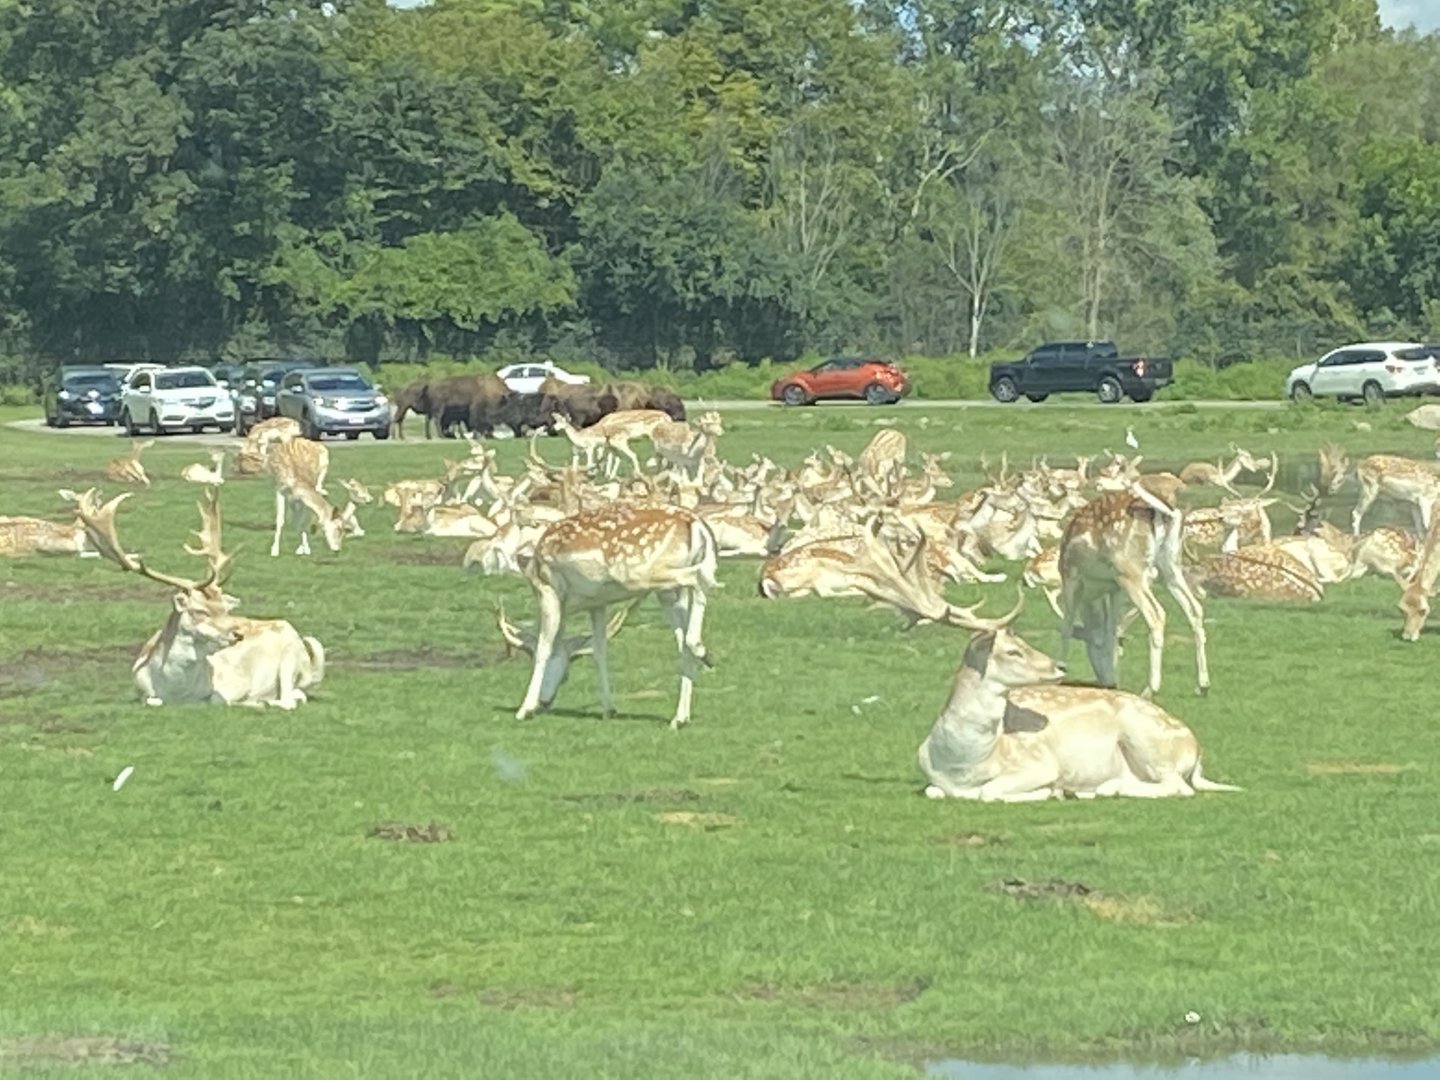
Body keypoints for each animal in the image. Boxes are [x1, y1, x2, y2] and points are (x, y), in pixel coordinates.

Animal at [75, 488, 325, 708]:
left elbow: (219, 700)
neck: (177, 692)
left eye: (225, 609)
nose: (238, 633)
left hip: (291, 658)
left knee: (290, 699)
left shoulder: (232, 685)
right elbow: (152, 701)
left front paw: (251, 701)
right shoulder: (140, 690)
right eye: (199, 610)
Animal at [510, 503, 718, 729]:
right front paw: (609, 709)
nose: (545, 702)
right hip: (669, 592)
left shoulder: (549, 591)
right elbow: (599, 651)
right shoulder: (597, 604)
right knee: (683, 640)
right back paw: (680, 717)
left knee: (699, 579)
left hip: (644, 574)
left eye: (565, 674)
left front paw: (524, 709)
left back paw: (700, 648)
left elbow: (543, 648)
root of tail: (697, 524)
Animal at [1058, 485, 1210, 698]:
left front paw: (1059, 670)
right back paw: (1202, 685)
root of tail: (1167, 513)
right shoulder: (1114, 587)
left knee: (1157, 614)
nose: (1105, 681)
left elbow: (1066, 626)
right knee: (1195, 609)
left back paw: (1150, 689)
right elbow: (1112, 630)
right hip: (1170, 564)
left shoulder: (1070, 576)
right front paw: (1112, 677)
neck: (1093, 591)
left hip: (1130, 570)